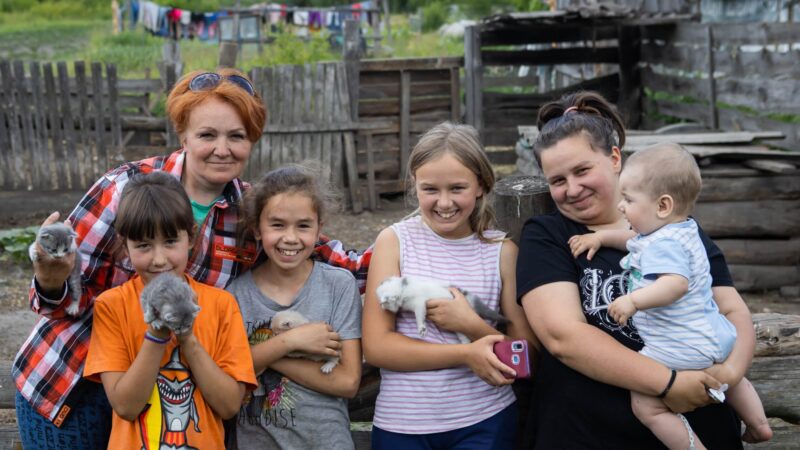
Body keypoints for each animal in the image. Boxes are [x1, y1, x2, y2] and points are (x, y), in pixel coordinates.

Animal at [376, 274, 506, 344]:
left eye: (384, 303)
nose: (381, 306)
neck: (403, 291)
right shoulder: (417, 304)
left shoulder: (419, 302)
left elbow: (419, 316)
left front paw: (421, 329)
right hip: (459, 327)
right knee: (464, 336)